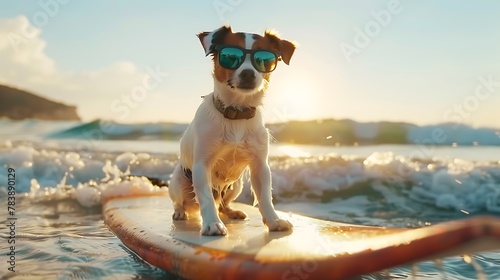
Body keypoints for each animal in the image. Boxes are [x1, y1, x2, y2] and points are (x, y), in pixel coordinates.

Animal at [169, 25, 292, 236]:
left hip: (236, 185)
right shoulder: (201, 165)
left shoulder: (260, 167)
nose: (248, 74)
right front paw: (212, 224)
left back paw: (232, 211)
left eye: (264, 59)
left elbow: (265, 197)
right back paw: (180, 212)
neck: (236, 112)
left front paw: (273, 220)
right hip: (177, 182)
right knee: (183, 201)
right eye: (230, 56)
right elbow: (206, 199)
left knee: (222, 204)